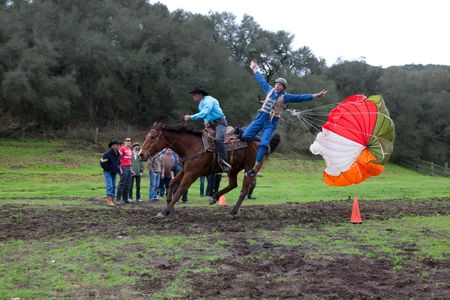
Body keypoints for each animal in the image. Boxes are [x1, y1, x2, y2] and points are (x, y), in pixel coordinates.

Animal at [141, 122, 280, 218]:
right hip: (233, 169)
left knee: (244, 190)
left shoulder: (191, 174)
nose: (141, 154)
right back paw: (214, 197)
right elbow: (171, 183)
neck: (192, 146)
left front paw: (165, 211)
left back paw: (233, 211)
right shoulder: (184, 170)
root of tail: (261, 142)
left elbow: (180, 189)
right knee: (233, 184)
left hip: (250, 168)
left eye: (152, 137)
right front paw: (170, 205)